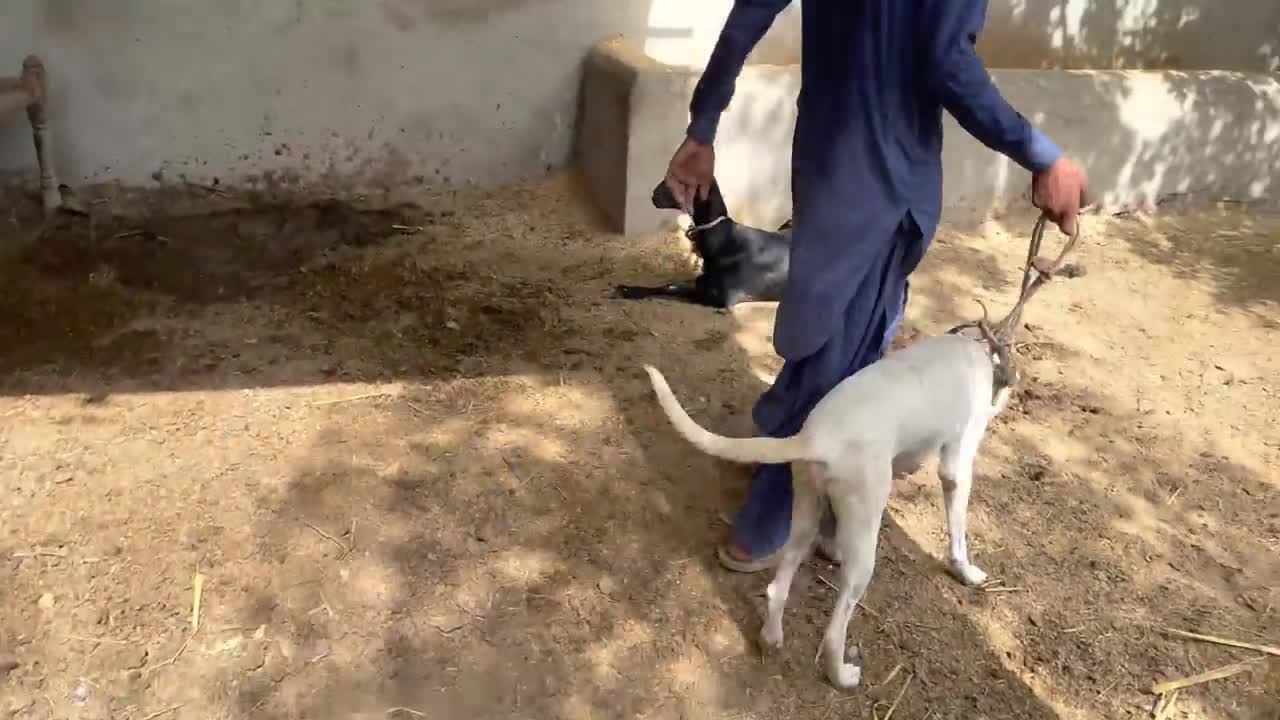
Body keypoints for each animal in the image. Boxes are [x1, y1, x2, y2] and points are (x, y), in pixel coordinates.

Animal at [645, 330, 1013, 691]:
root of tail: (818, 437)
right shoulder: (957, 464)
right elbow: (958, 531)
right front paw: (965, 571)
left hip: (805, 509)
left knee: (778, 587)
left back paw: (771, 638)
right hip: (862, 547)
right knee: (835, 633)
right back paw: (842, 676)